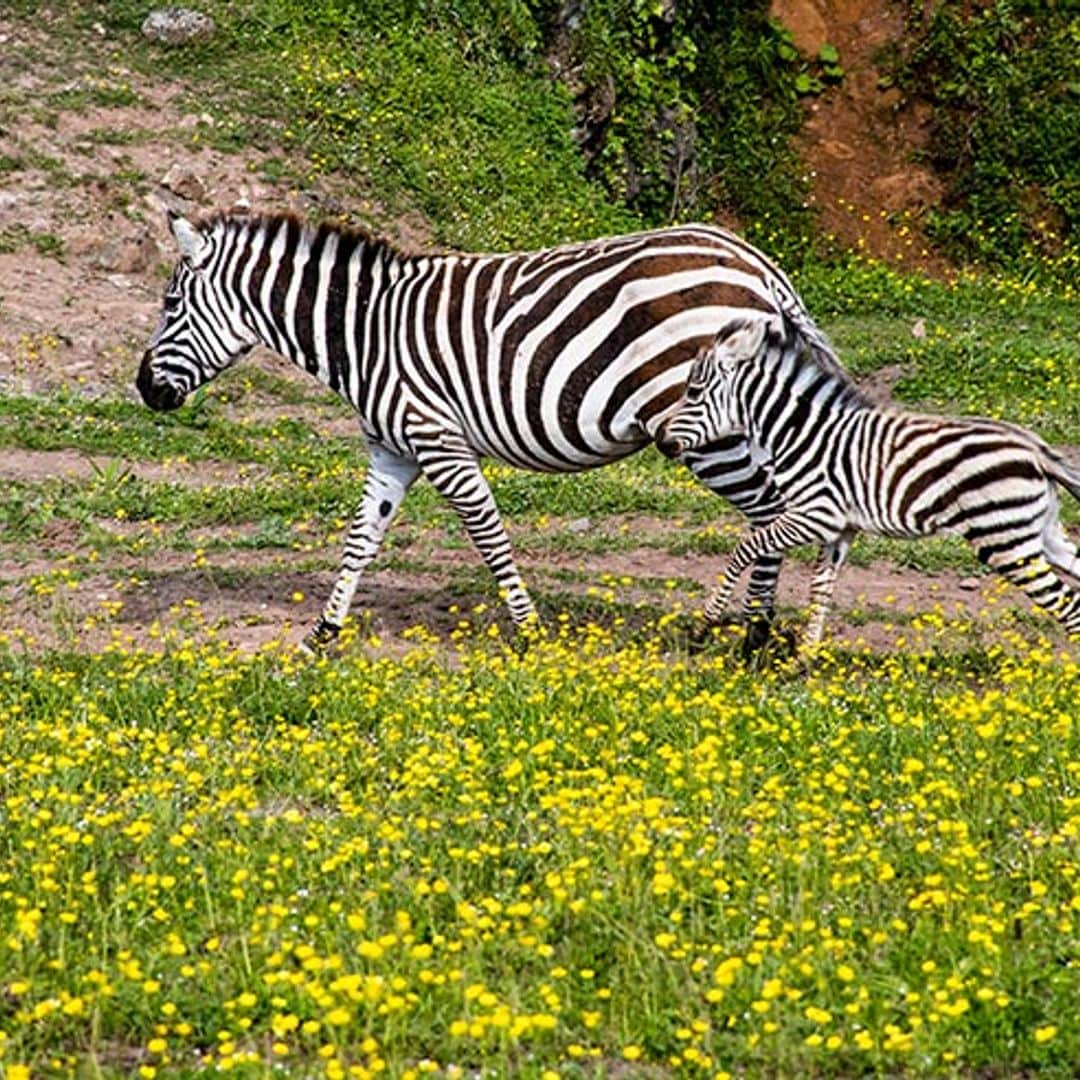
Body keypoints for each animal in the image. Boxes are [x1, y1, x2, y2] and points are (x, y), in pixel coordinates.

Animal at [137, 210, 842, 648]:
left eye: (170, 305)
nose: (144, 389)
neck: (365, 332)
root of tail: (757, 263)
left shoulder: (437, 440)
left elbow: (488, 535)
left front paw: (529, 636)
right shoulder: (392, 452)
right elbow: (359, 541)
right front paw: (321, 637)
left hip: (711, 429)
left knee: (774, 514)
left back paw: (752, 640)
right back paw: (770, 640)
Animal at [652, 313, 1080, 648]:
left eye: (693, 391)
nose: (661, 441)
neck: (800, 432)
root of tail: (1036, 448)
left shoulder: (813, 514)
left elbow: (746, 549)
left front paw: (703, 626)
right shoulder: (839, 528)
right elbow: (820, 586)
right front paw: (803, 661)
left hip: (1004, 540)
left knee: (1068, 607)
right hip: (1038, 534)